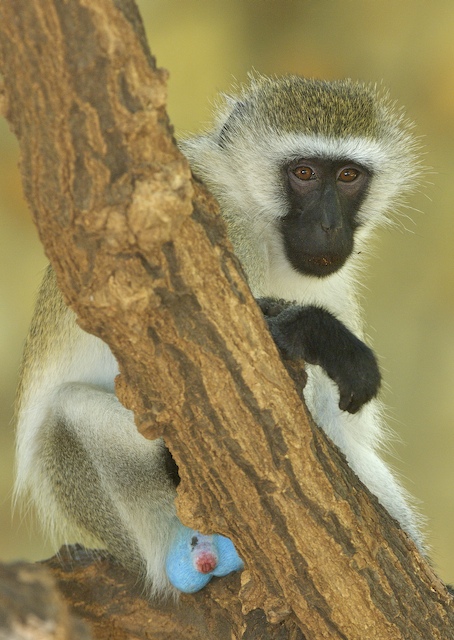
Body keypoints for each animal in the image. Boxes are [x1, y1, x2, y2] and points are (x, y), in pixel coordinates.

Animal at [15, 74, 424, 596]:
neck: (263, 227)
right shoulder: (223, 225)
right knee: (68, 410)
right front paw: (324, 338)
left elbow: (341, 432)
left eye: (349, 177)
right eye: (305, 173)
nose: (329, 225)